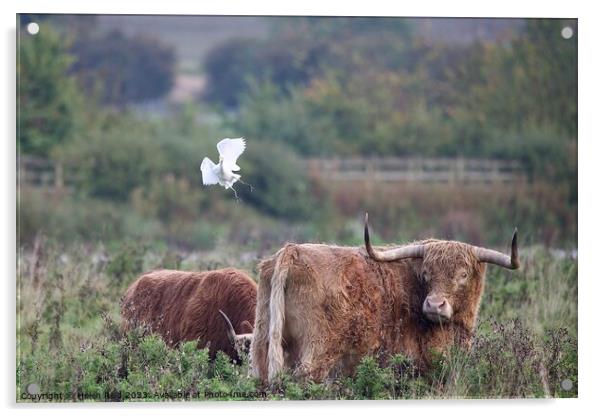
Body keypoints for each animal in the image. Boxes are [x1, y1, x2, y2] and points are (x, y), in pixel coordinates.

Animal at [251, 214, 516, 384]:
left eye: (463, 274)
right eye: (427, 273)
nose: (434, 305)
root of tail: (292, 251)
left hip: (262, 343)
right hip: (316, 353)